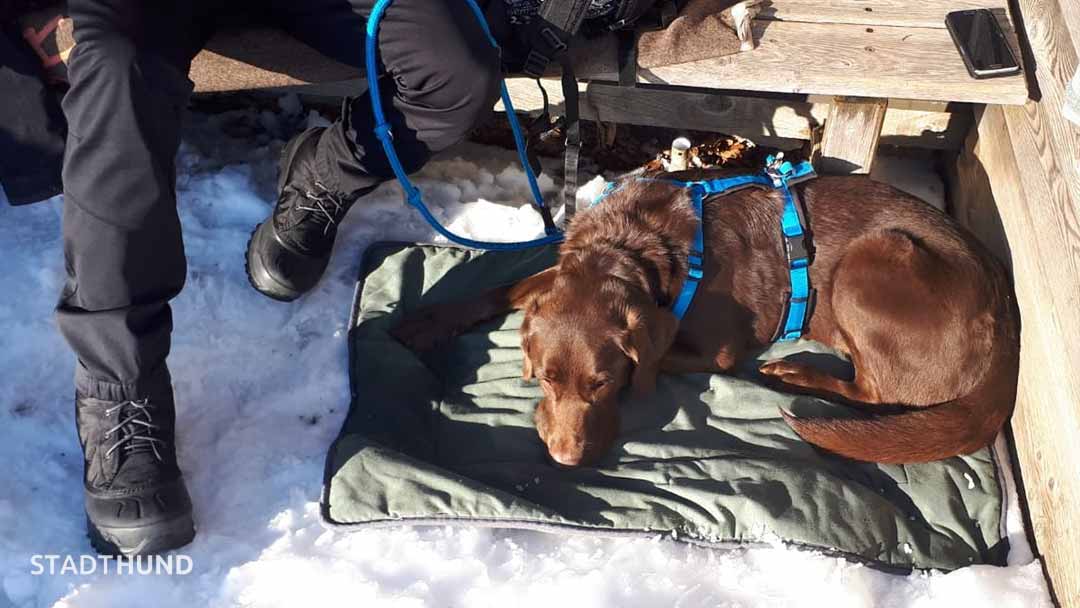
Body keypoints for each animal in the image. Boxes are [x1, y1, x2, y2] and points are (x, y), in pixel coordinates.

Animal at [393, 171, 1015, 466]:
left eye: (604, 383)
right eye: (545, 379)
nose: (567, 459)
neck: (634, 246)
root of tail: (1007, 308)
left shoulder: (717, 348)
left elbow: (659, 359)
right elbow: (511, 285)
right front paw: (425, 321)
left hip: (874, 257)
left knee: (879, 392)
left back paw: (797, 375)